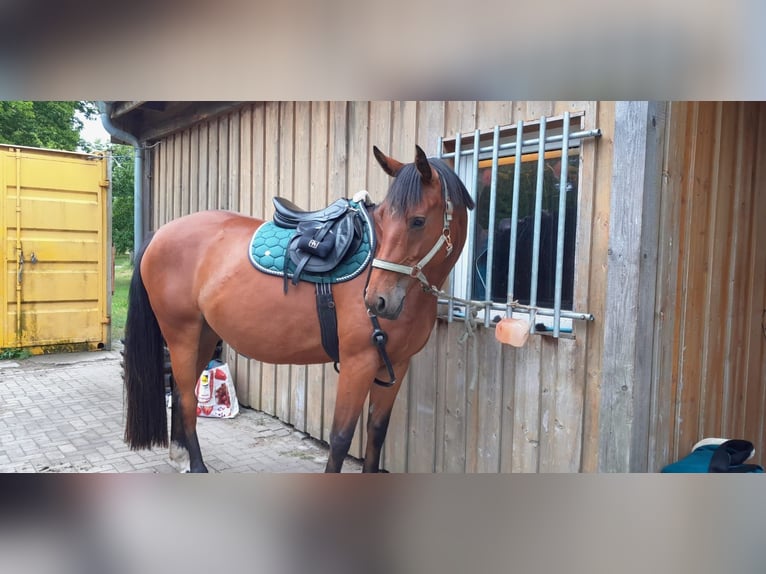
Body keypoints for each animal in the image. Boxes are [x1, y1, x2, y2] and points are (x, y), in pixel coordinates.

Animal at [122, 146, 474, 474]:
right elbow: (341, 437)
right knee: (185, 396)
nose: (377, 300)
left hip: (204, 335)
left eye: (417, 221)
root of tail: (160, 234)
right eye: (387, 218)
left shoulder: (396, 364)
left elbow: (376, 432)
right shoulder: (358, 362)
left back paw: (181, 456)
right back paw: (196, 464)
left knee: (182, 392)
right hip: (181, 333)